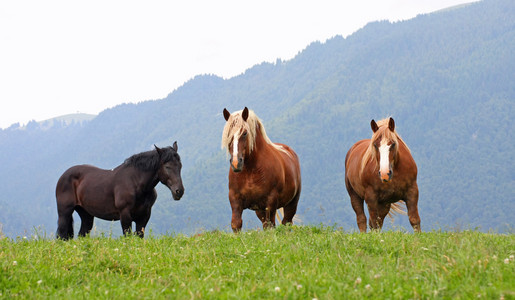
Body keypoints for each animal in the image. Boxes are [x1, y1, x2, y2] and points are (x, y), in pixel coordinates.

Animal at [55, 142, 184, 240]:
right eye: (167, 167)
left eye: (180, 166)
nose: (179, 191)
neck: (136, 183)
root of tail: (63, 176)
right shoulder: (125, 215)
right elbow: (127, 237)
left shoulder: (144, 217)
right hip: (64, 212)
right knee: (61, 235)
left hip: (86, 214)